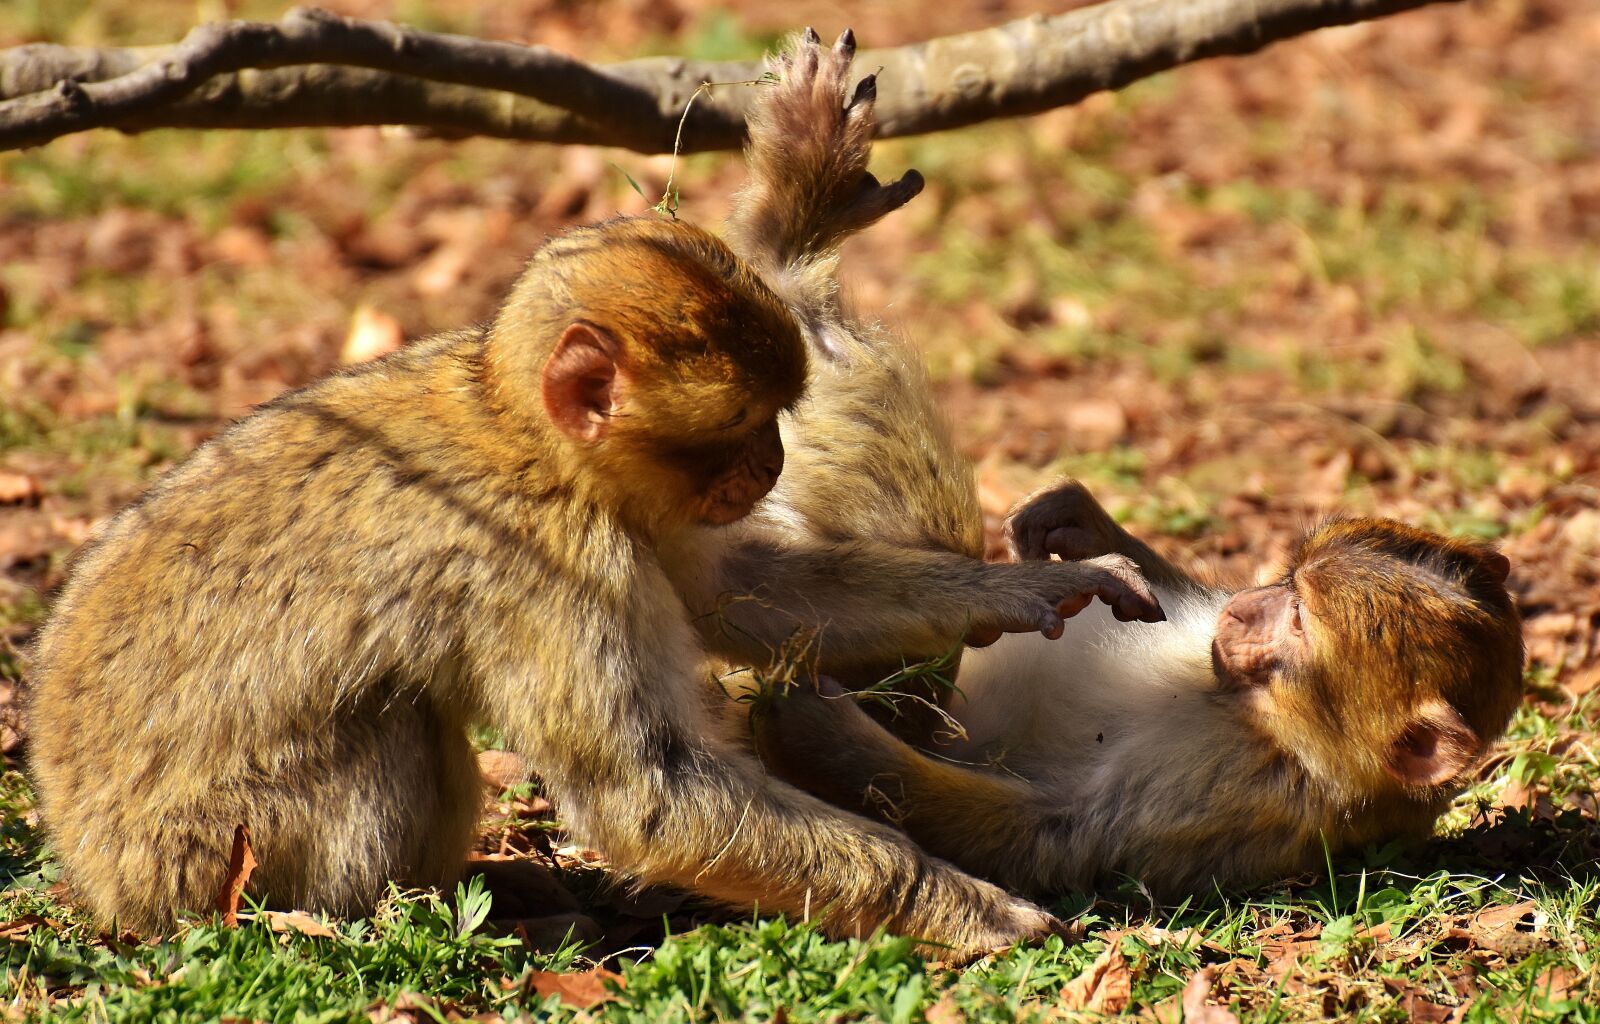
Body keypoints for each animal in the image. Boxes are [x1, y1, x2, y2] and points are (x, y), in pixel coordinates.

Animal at [25, 33, 1166, 951]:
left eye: (774, 423)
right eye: (745, 427)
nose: (772, 465)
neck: (527, 438)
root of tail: (96, 873)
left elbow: (745, 596)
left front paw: (1015, 592)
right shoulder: (549, 566)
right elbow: (646, 794)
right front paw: (954, 903)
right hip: (212, 855)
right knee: (394, 724)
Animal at [752, 479, 1527, 898]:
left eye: (1301, 621)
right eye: (1289, 580)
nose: (1242, 609)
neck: (1267, 725)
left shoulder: (1238, 793)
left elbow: (1056, 837)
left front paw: (819, 724)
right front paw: (1077, 521)